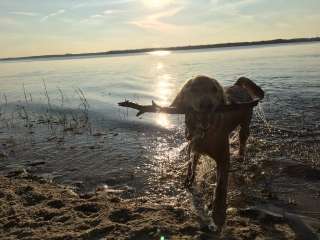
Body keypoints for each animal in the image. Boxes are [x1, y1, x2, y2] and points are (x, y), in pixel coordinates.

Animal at [171, 76, 264, 230]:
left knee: (243, 141)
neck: (205, 131)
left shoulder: (223, 158)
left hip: (245, 124)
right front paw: (188, 180)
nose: (206, 104)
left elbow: (220, 187)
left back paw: (240, 157)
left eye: (214, 89)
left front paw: (218, 214)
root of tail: (238, 85)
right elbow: (192, 165)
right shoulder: (193, 146)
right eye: (193, 89)